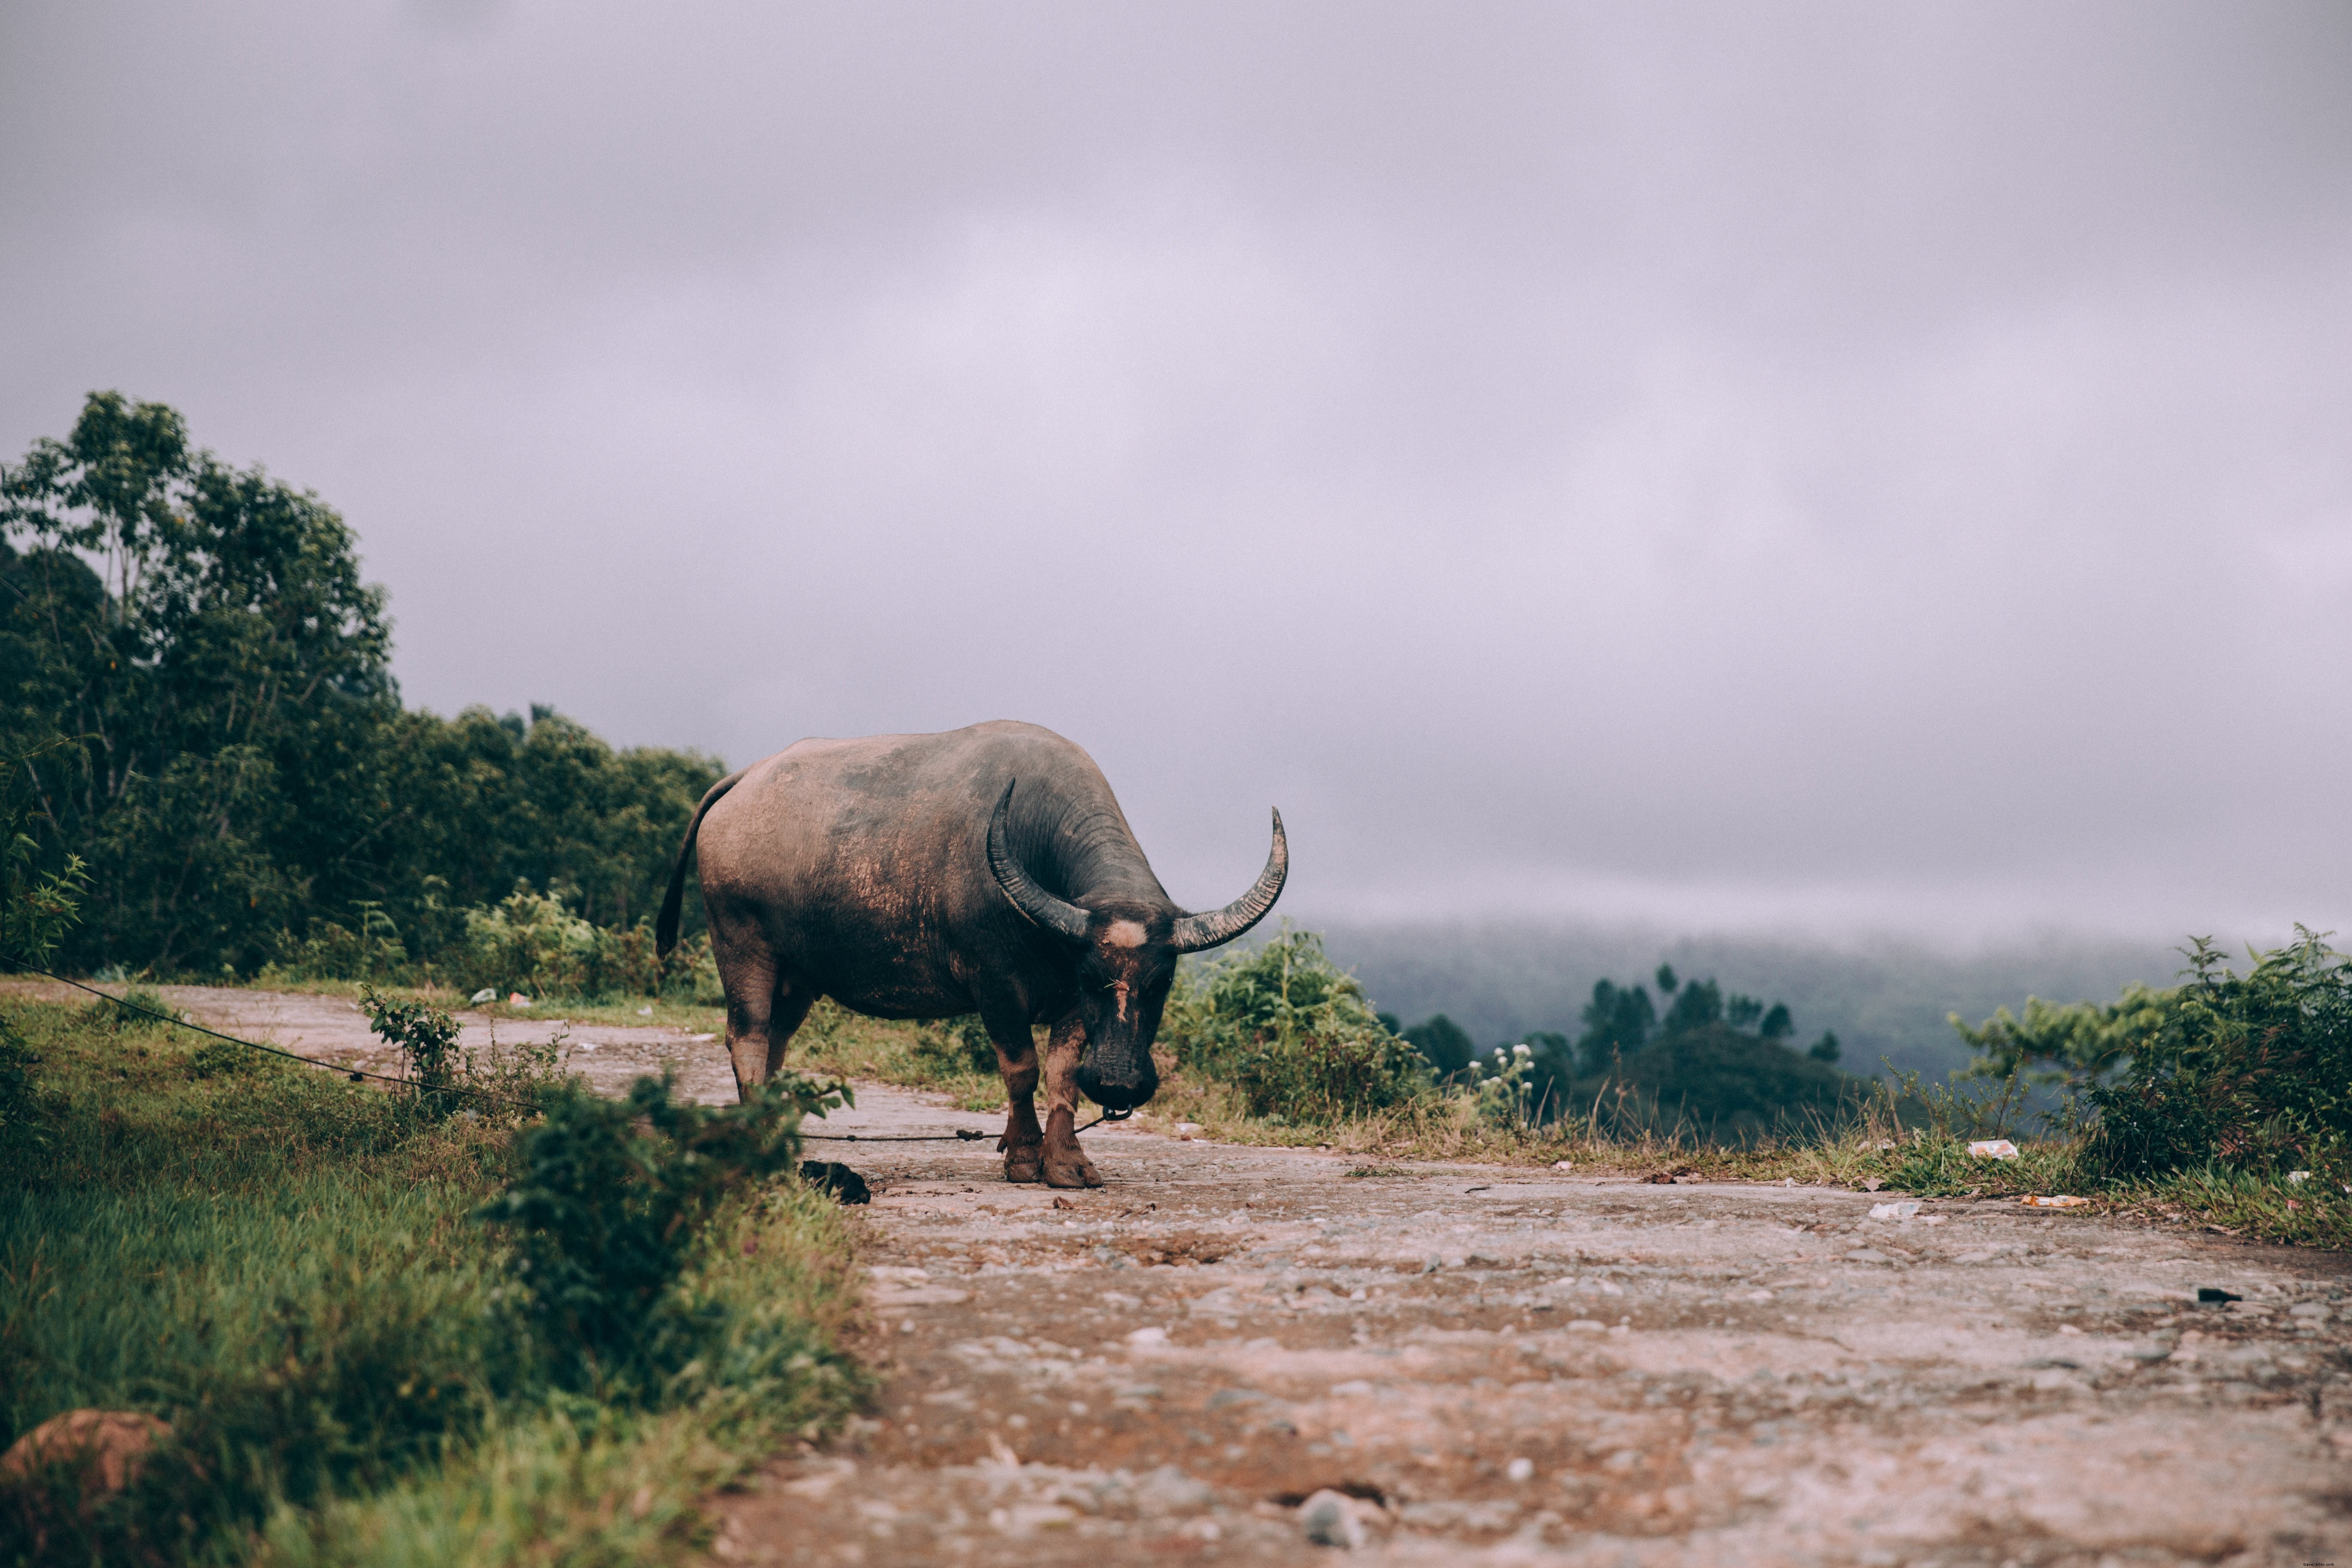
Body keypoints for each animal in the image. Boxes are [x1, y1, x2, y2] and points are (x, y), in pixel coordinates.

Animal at [655, 721, 1285, 1187]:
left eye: (1162, 983)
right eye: (1094, 977)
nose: (1118, 1084)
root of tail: (742, 781)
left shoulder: (1068, 1003)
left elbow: (1061, 1071)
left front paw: (1067, 1163)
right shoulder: (994, 982)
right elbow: (1021, 1067)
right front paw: (1024, 1156)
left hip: (798, 974)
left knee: (777, 1042)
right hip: (740, 943)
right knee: (748, 1036)